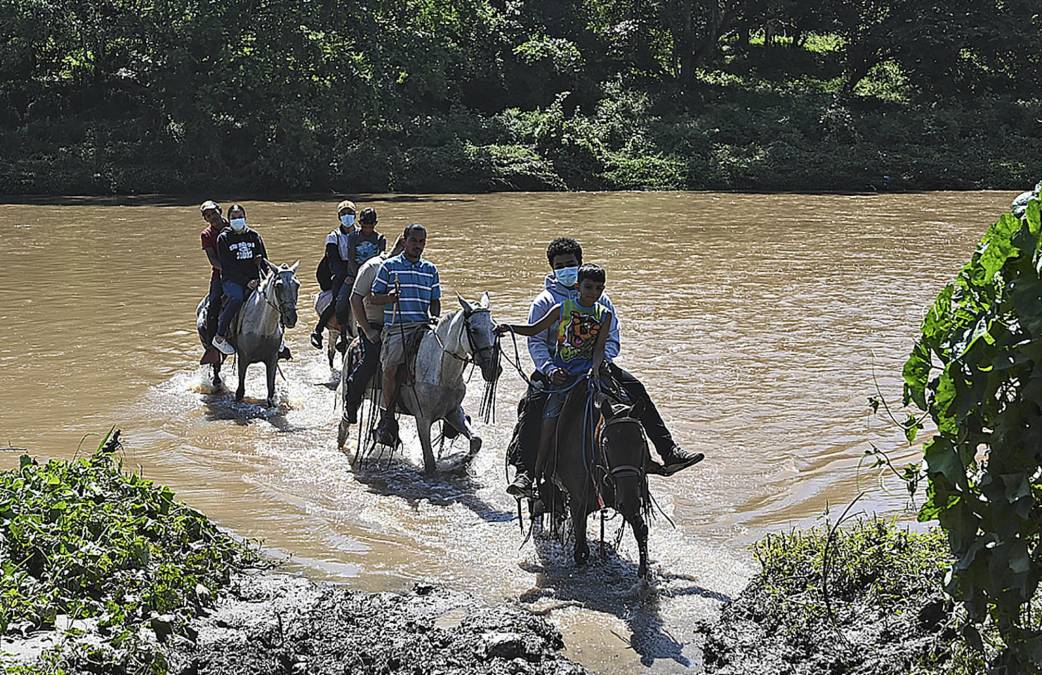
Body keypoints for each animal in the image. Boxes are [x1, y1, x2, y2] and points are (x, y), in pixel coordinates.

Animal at [195, 263, 302, 406]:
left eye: (297, 284)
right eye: (278, 286)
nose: (291, 318)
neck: (262, 329)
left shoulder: (272, 360)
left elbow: (270, 391)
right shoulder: (243, 359)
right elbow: (240, 392)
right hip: (210, 347)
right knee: (216, 366)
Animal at [339, 291, 502, 474]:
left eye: (495, 328)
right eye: (474, 330)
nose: (494, 369)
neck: (440, 370)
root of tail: (354, 342)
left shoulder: (452, 411)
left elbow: (476, 441)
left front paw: (463, 461)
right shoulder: (422, 419)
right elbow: (430, 462)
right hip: (350, 395)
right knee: (344, 425)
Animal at [546, 377, 650, 579]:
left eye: (642, 441)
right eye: (606, 443)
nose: (629, 501)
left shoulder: (626, 497)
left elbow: (641, 529)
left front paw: (644, 573)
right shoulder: (578, 503)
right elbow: (581, 551)